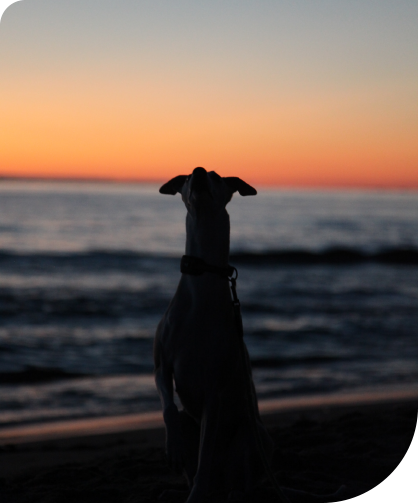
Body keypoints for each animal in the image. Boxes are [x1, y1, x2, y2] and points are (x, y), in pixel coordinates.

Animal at [154, 167, 275, 503]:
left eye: (216, 175)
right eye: (185, 177)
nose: (197, 171)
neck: (202, 283)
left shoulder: (214, 393)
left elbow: (206, 453)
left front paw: (196, 495)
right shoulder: (162, 364)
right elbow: (169, 406)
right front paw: (173, 446)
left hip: (251, 436)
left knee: (241, 481)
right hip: (192, 422)